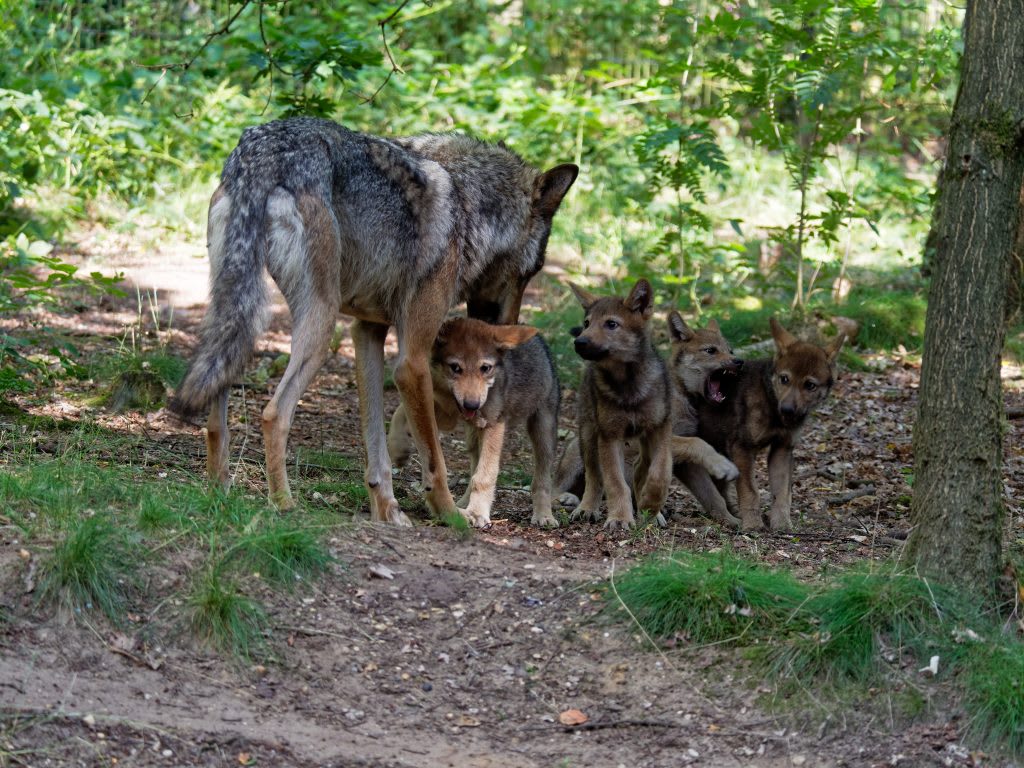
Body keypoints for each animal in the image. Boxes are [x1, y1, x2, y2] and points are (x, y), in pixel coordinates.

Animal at [385, 317, 561, 528]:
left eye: (485, 368)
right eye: (455, 368)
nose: (472, 404)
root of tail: (540, 340)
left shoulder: (493, 425)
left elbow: (485, 476)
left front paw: (478, 513)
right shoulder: (448, 416)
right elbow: (400, 410)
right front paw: (398, 447)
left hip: (543, 431)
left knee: (542, 479)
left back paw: (544, 515)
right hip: (472, 439)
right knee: (473, 469)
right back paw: (462, 504)